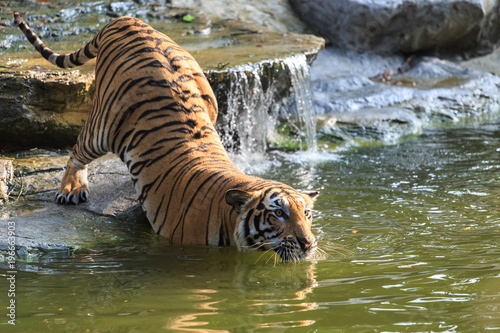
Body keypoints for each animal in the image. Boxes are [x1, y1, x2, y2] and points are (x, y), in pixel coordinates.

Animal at [15, 12, 322, 260]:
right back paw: (71, 188)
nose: (308, 243)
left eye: (306, 214)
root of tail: (128, 20)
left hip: (209, 99)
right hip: (103, 124)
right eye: (279, 213)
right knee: (78, 151)